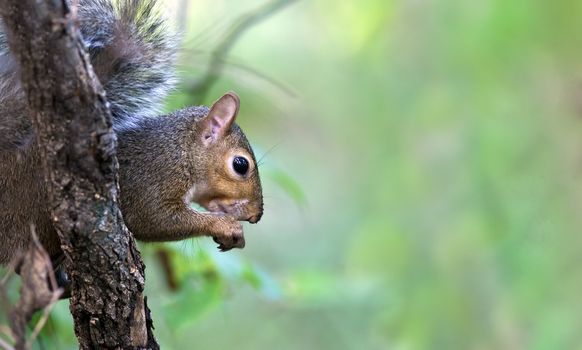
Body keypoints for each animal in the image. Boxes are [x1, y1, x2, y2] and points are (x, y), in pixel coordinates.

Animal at [0, 0, 264, 264]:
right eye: (241, 165)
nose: (256, 216)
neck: (181, 150)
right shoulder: (152, 178)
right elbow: (154, 219)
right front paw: (225, 226)